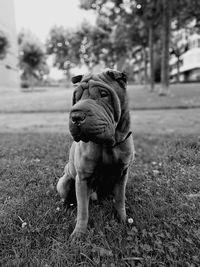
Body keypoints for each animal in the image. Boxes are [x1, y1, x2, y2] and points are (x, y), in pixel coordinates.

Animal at [56, 69, 135, 241]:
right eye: (76, 97)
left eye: (104, 94)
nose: (76, 116)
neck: (108, 145)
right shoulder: (82, 179)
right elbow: (83, 210)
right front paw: (79, 233)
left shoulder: (122, 174)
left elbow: (120, 199)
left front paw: (122, 219)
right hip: (64, 182)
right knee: (69, 199)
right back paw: (66, 208)